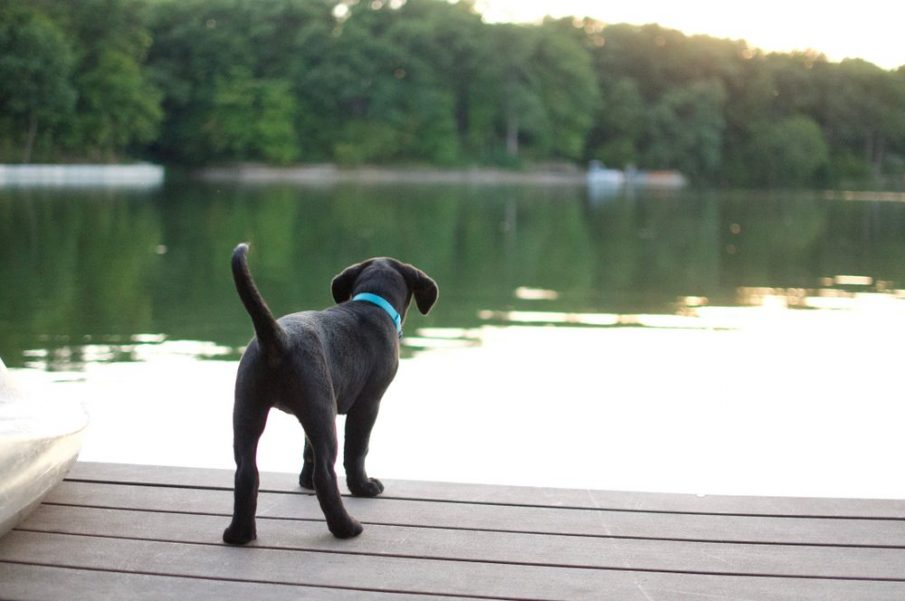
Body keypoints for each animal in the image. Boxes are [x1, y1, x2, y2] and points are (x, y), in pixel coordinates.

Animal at [225, 241, 438, 540]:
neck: (372, 302)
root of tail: (278, 338)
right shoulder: (368, 403)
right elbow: (357, 449)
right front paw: (364, 486)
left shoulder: (311, 415)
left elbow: (307, 449)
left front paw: (304, 480)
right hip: (321, 413)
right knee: (326, 473)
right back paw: (347, 528)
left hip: (251, 408)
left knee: (246, 471)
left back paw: (239, 534)